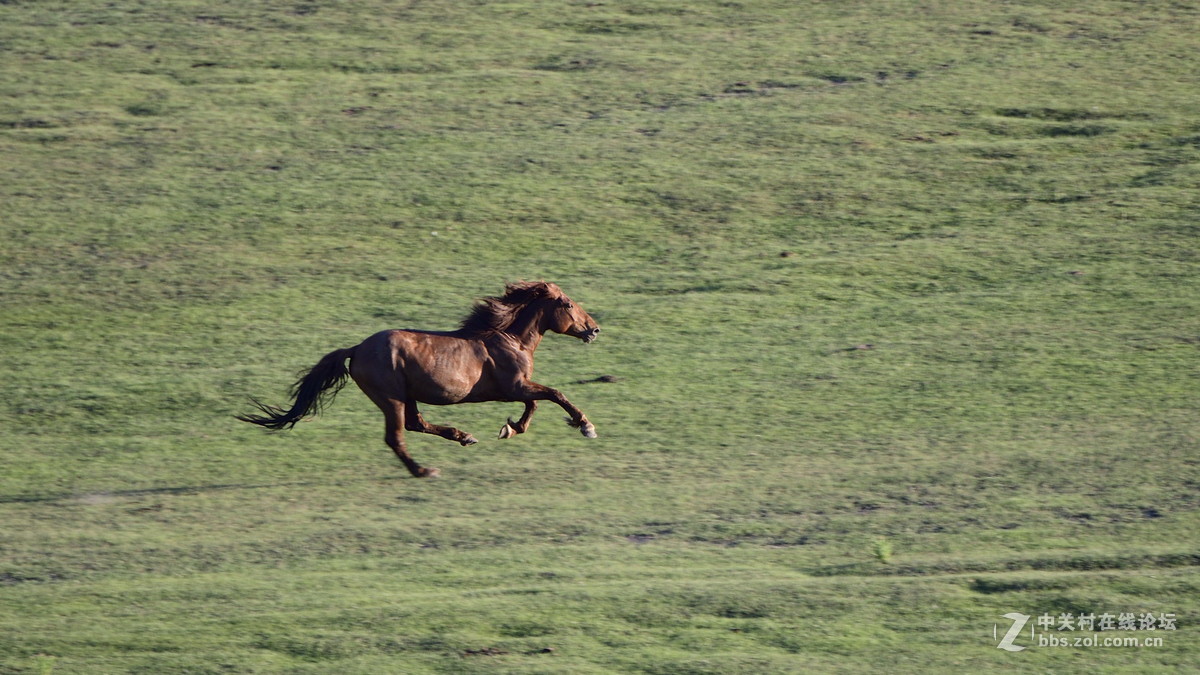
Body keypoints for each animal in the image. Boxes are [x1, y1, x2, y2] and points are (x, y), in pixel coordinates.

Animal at [236, 281, 600, 475]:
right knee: (397, 436)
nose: (594, 329)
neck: (508, 339)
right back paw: (423, 470)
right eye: (567, 303)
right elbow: (554, 394)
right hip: (391, 398)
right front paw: (585, 425)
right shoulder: (514, 386)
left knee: (416, 424)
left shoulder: (515, 389)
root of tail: (357, 349)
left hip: (405, 395)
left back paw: (463, 437)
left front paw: (509, 428)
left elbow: (535, 405)